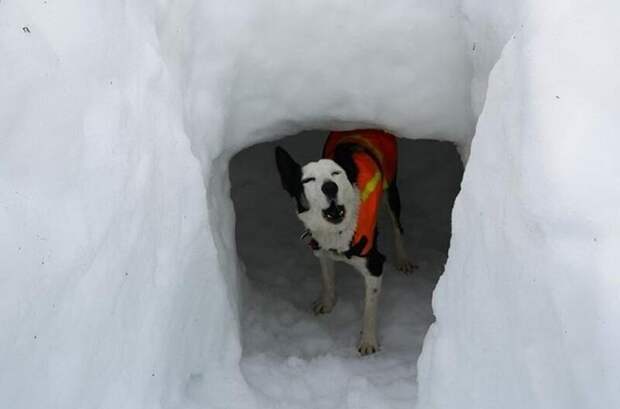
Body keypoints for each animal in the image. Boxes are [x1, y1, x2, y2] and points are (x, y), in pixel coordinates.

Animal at [274, 128, 414, 354]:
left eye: (336, 173)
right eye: (308, 180)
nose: (330, 187)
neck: (337, 232)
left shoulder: (374, 265)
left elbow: (369, 309)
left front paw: (368, 340)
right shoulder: (321, 249)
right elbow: (327, 278)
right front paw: (327, 302)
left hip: (391, 188)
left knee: (397, 226)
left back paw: (403, 259)